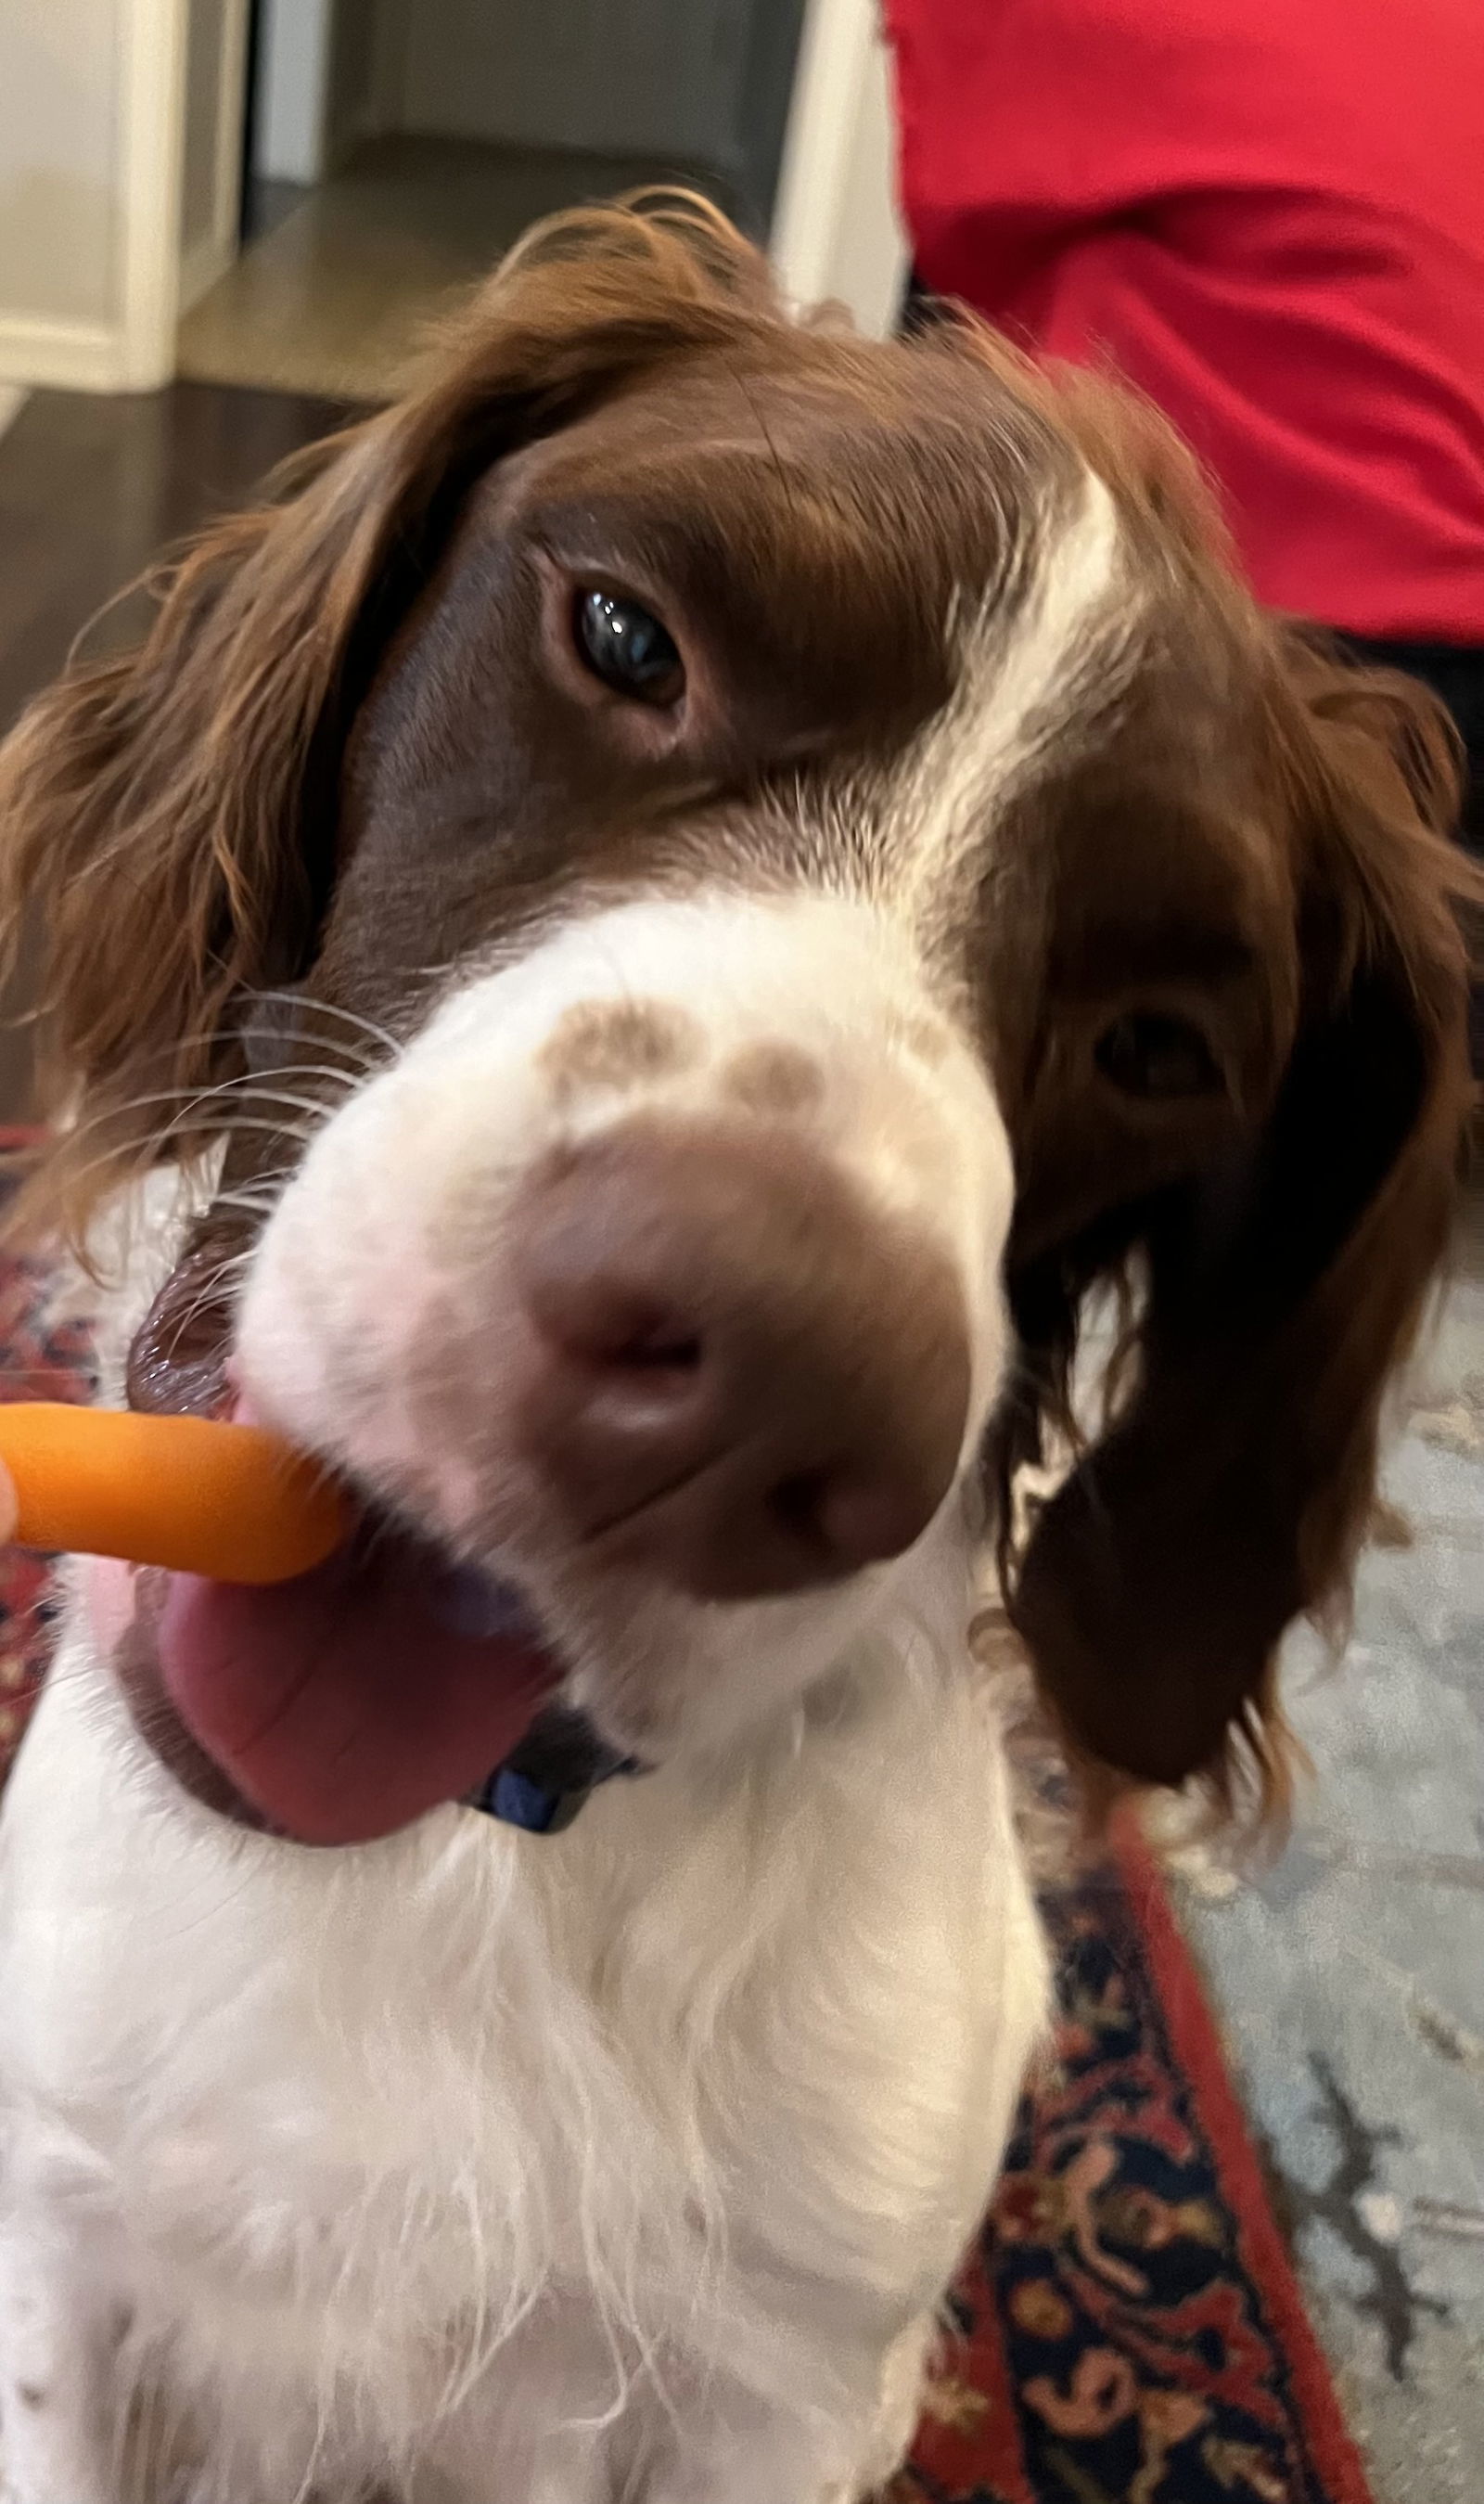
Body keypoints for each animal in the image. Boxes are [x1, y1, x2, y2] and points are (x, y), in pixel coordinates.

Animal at [0, 199, 1461, 2504]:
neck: (471, 1854)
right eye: (621, 636)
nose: (767, 1385)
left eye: (1158, 1046)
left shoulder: (781, 2388)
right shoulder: (60, 2230)